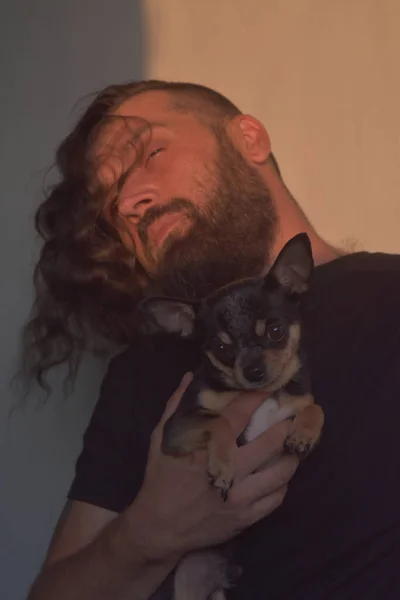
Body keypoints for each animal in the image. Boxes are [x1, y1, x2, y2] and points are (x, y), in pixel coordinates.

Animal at [141, 233, 324, 600]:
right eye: (223, 349)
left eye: (276, 331)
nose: (254, 371)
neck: (263, 395)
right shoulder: (177, 427)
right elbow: (219, 419)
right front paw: (223, 468)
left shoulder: (293, 411)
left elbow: (315, 406)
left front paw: (304, 434)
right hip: (181, 580)